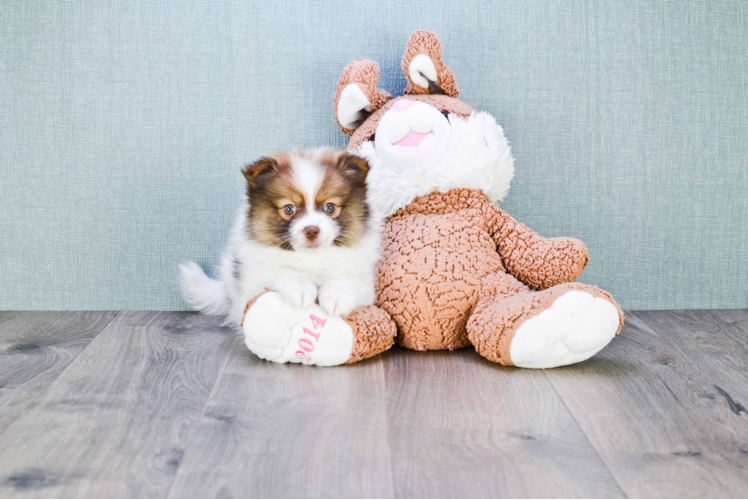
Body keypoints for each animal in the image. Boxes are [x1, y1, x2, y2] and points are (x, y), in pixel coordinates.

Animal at [180, 148, 380, 328]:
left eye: (330, 207)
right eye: (288, 209)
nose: (311, 230)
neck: (311, 258)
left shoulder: (365, 285)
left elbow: (346, 277)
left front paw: (337, 296)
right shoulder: (253, 281)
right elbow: (279, 270)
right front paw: (300, 287)